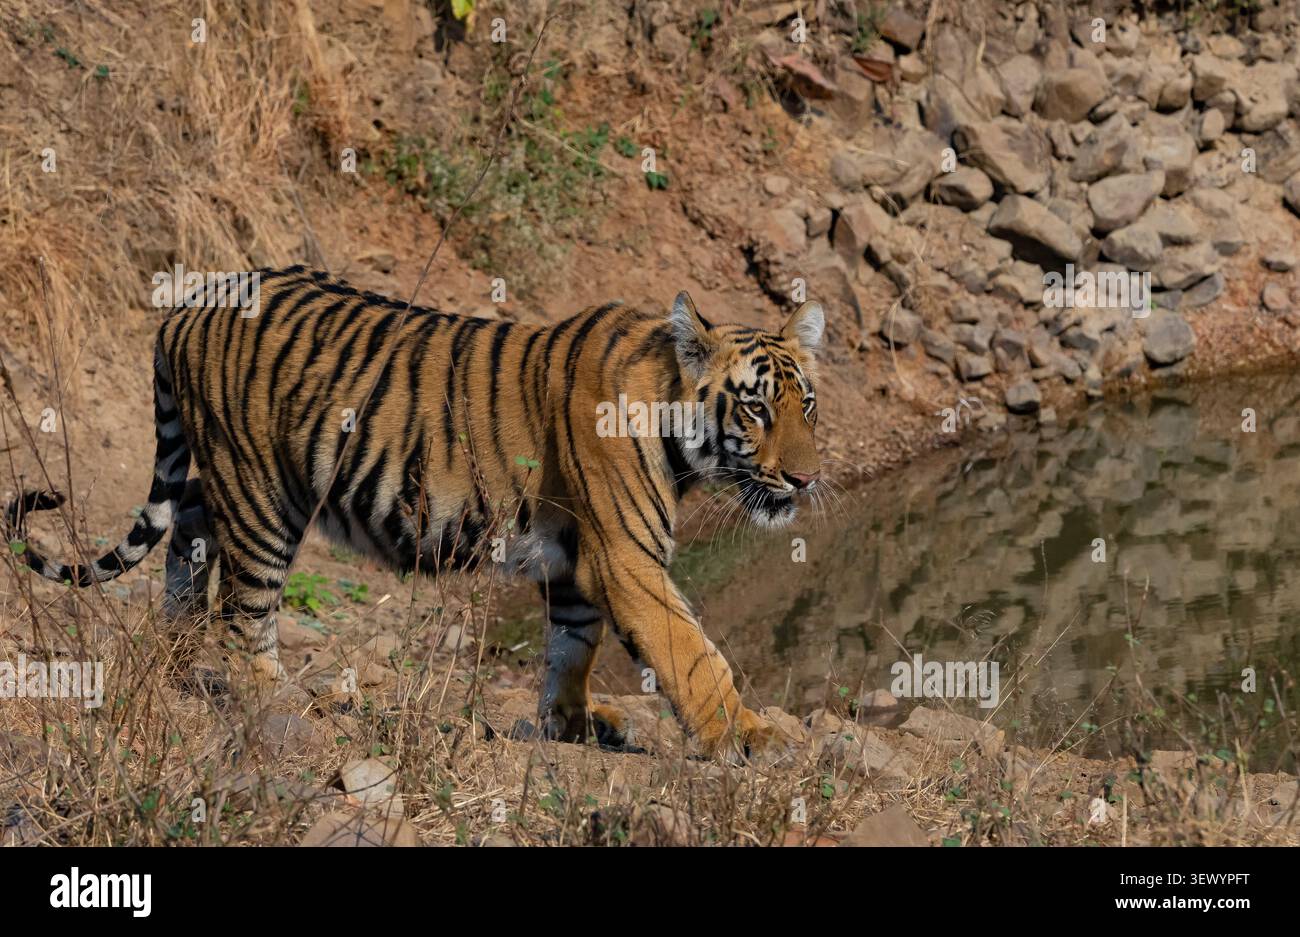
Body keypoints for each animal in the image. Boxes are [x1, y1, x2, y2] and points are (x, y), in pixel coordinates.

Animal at [5, 266, 826, 759]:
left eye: (806, 405)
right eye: (755, 407)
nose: (807, 478)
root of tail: (191, 302)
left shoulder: (574, 560)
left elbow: (571, 648)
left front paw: (570, 726)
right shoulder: (625, 559)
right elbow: (693, 654)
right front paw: (747, 735)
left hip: (233, 478)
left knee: (191, 522)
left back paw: (175, 654)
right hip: (265, 491)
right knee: (243, 614)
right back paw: (276, 706)